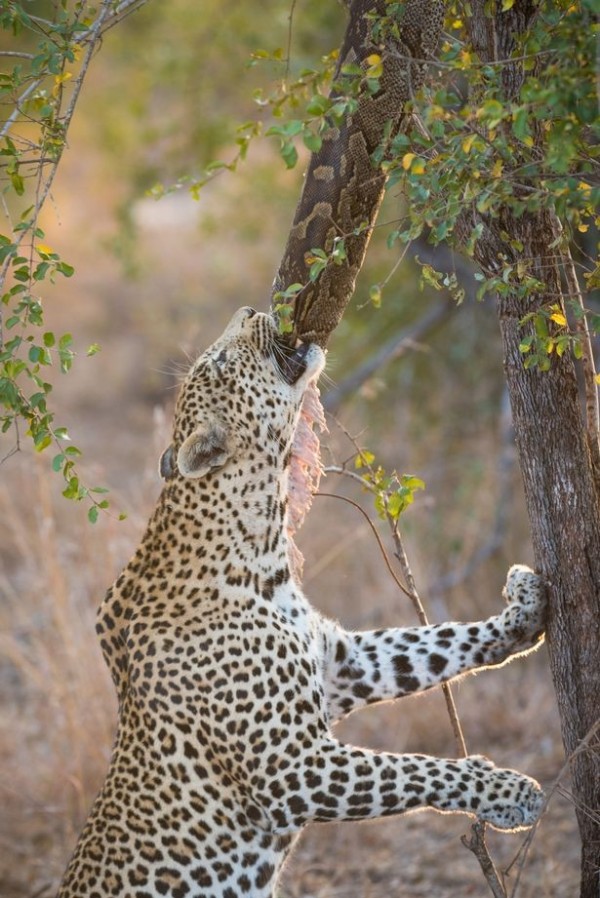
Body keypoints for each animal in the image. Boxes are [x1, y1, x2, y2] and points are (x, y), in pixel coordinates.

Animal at [57, 306, 548, 896]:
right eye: (220, 362)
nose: (249, 309)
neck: (263, 545)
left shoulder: (343, 663)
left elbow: (436, 644)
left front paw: (525, 607)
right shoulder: (291, 767)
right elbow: (412, 769)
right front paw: (508, 793)